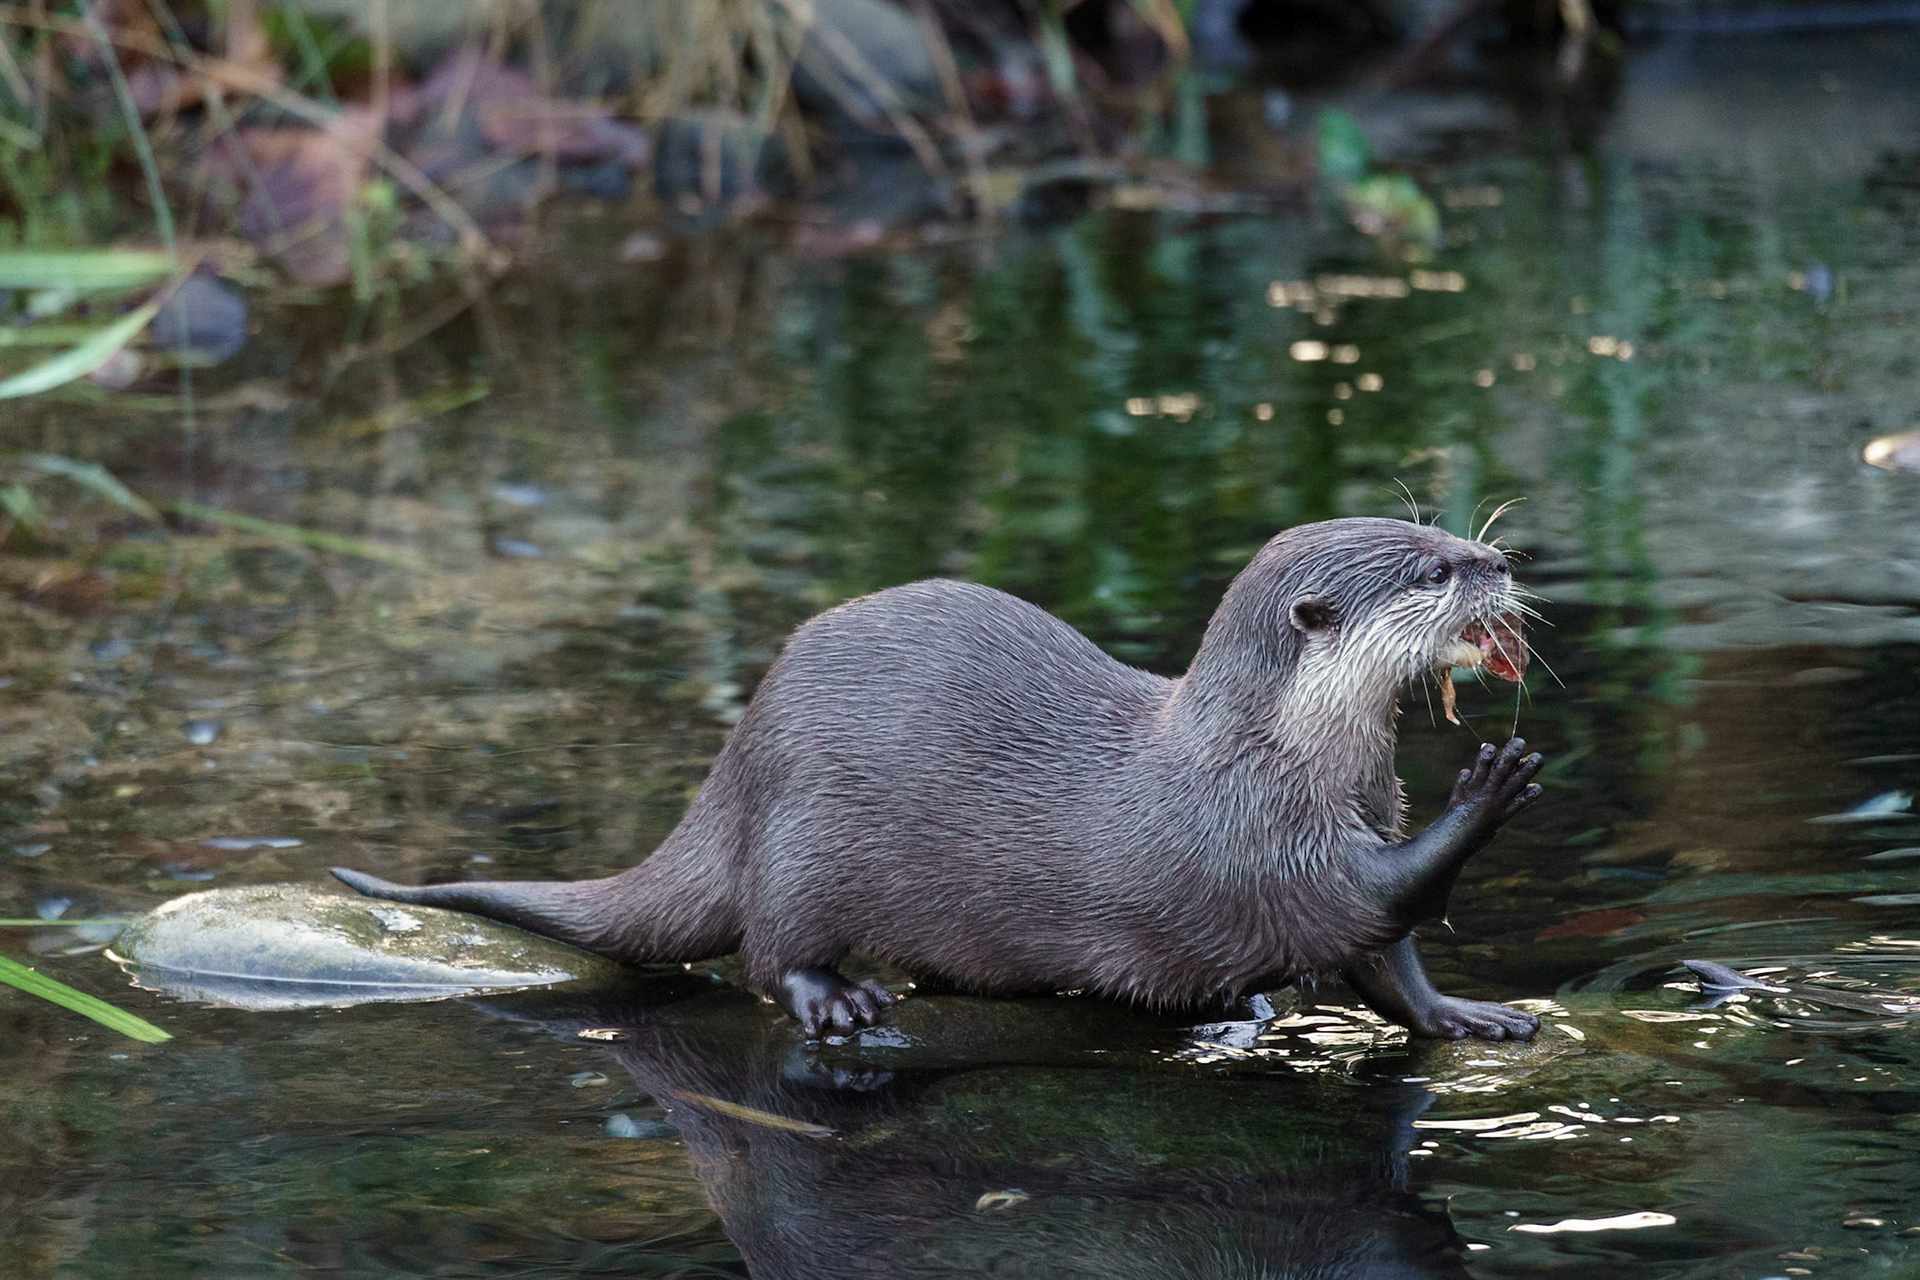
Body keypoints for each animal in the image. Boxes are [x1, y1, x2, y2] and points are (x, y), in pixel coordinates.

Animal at [335, 517, 1545, 1042]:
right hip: (805, 841)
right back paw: (838, 999)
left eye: (1447, 529)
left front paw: (1468, 1013)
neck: (1283, 752)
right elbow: (1367, 901)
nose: (1498, 561)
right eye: (1431, 570)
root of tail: (738, 759)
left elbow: (1392, 964)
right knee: (770, 952)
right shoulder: (1254, 840)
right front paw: (1488, 789)